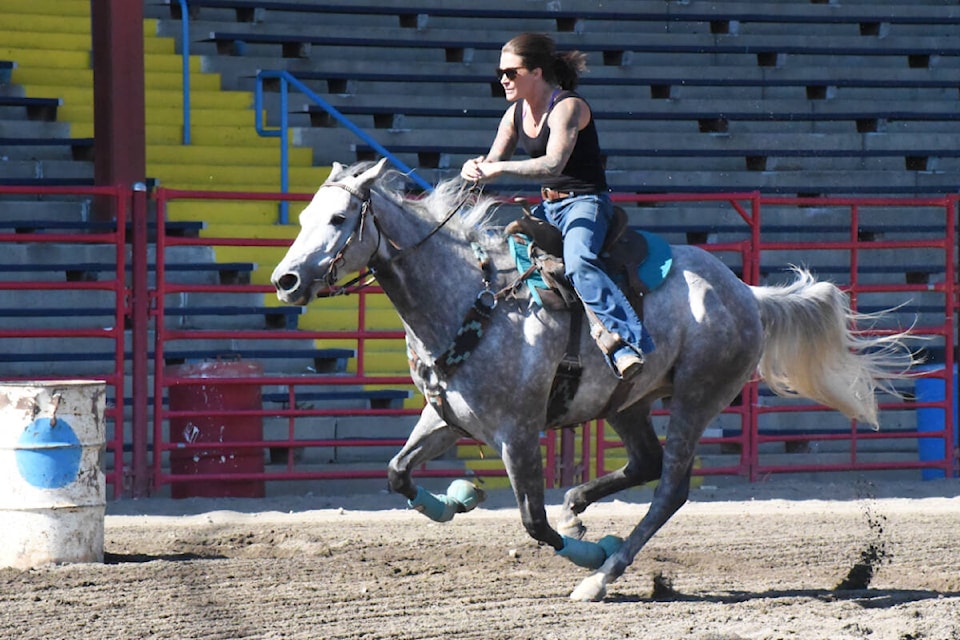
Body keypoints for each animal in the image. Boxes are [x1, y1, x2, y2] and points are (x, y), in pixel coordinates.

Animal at [270, 160, 916, 600]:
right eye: (302, 218)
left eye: (338, 219)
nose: (285, 281)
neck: (474, 300)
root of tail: (746, 294)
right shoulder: (446, 417)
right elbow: (397, 473)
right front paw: (456, 499)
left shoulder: (518, 434)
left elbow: (531, 523)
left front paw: (583, 555)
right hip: (627, 402)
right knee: (645, 463)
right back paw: (578, 505)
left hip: (697, 398)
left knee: (669, 490)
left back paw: (601, 574)